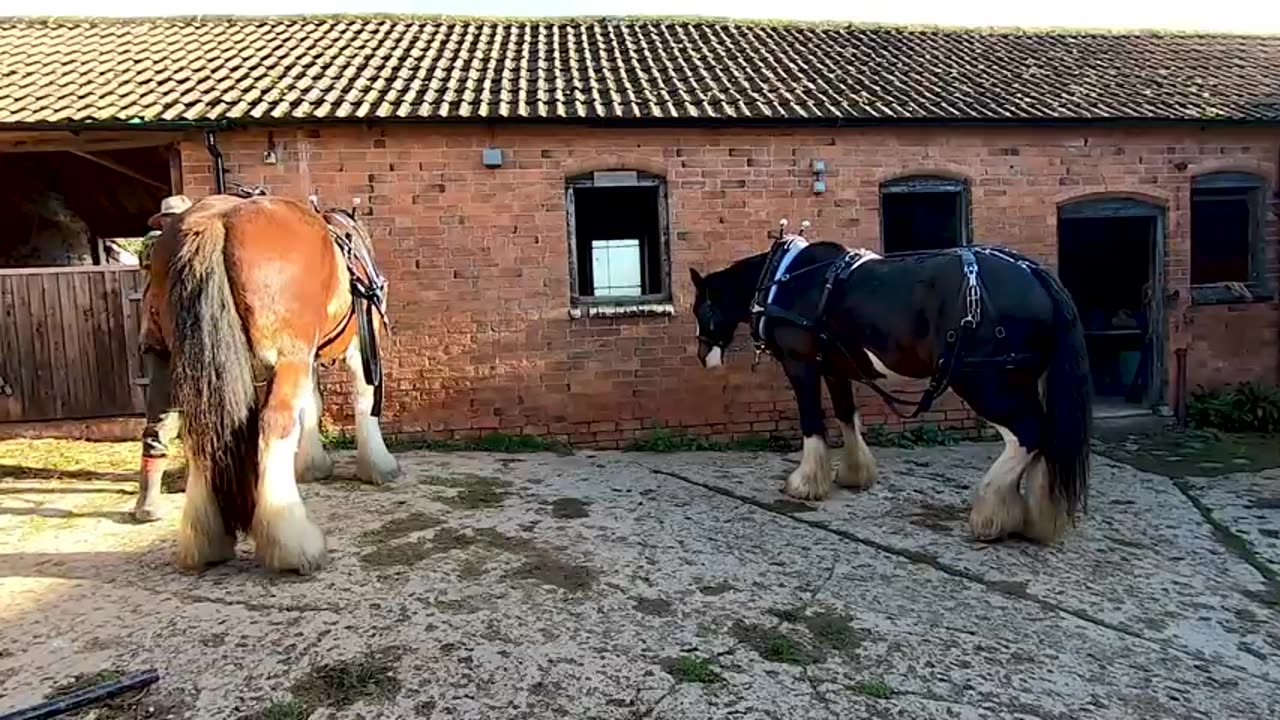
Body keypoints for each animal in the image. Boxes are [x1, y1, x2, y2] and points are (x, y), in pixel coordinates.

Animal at [144, 191, 400, 574]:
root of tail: (216, 221)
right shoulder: (357, 346)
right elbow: (364, 398)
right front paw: (378, 464)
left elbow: (312, 406)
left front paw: (312, 464)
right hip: (288, 357)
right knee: (274, 425)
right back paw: (292, 543)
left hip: (188, 366)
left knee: (199, 432)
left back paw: (206, 541)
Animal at [688, 220, 1093, 545]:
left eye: (701, 308)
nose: (702, 356)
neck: (785, 281)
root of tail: (1034, 274)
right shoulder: (835, 368)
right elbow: (846, 415)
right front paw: (854, 474)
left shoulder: (801, 365)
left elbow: (813, 422)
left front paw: (805, 483)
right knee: (1047, 435)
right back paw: (1037, 517)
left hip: (986, 382)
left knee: (1029, 431)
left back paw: (991, 514)